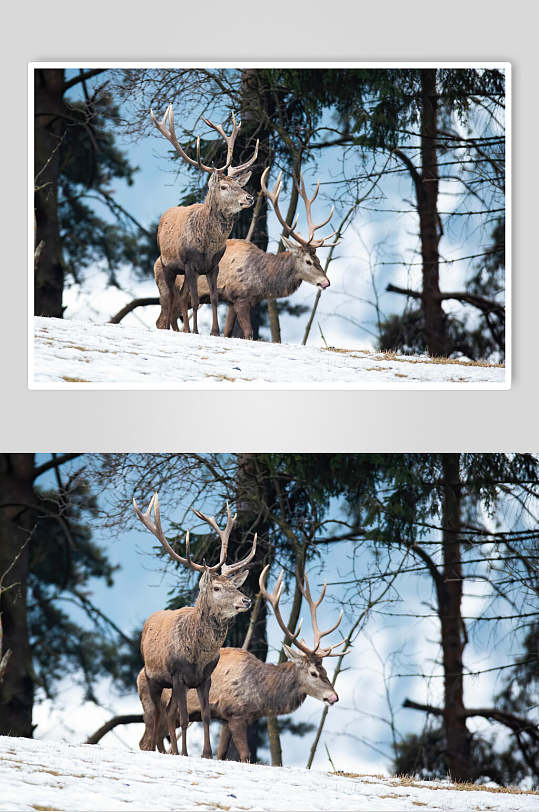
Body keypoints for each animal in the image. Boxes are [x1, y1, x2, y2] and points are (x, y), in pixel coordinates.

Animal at [132, 494, 256, 760]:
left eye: (234, 585)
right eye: (217, 588)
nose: (246, 600)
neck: (198, 656)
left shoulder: (204, 678)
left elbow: (206, 716)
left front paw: (206, 754)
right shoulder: (178, 675)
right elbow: (185, 718)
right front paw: (187, 753)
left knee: (166, 716)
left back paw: (169, 751)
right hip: (152, 679)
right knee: (155, 721)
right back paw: (160, 749)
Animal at [136, 564, 346, 760]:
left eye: (326, 671)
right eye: (313, 673)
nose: (334, 696)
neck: (261, 695)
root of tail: (139, 675)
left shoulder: (226, 719)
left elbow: (222, 753)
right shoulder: (236, 714)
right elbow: (245, 755)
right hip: (149, 701)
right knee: (145, 738)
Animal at [150, 104, 260, 336]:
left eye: (238, 184)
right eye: (224, 187)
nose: (249, 198)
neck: (207, 247)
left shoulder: (213, 266)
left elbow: (215, 299)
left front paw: (214, 332)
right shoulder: (190, 263)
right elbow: (193, 300)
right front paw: (196, 331)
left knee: (177, 302)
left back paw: (183, 329)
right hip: (166, 268)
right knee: (167, 309)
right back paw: (179, 329)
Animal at [156, 168, 340, 340]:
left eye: (319, 259)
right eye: (308, 261)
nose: (326, 282)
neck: (262, 281)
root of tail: (156, 262)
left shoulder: (234, 302)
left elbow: (228, 332)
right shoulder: (240, 297)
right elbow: (249, 333)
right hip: (165, 285)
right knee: (162, 318)